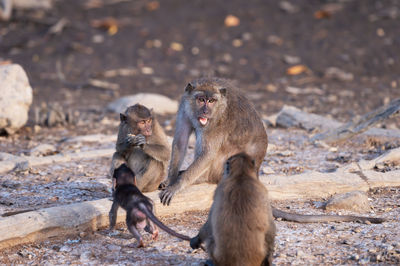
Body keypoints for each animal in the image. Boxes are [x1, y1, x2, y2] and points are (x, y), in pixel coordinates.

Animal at [159, 77, 384, 224]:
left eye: (211, 101)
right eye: (200, 99)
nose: (205, 110)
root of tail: (256, 170)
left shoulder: (217, 122)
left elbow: (207, 153)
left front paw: (178, 184)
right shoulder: (184, 106)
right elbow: (180, 141)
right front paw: (171, 179)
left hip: (224, 168)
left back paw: (201, 179)